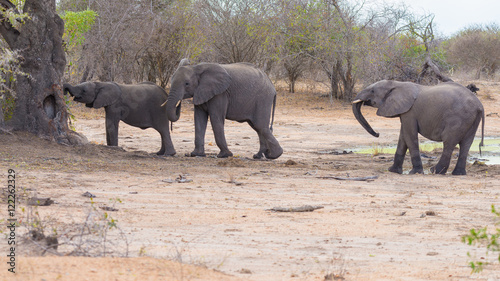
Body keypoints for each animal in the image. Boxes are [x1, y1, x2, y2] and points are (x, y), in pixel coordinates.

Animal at [352, 79, 484, 175]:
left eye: (372, 91)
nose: (378, 134)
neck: (397, 84)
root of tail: (480, 105)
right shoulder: (405, 113)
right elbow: (403, 137)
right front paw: (393, 171)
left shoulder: (410, 112)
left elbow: (410, 137)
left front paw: (414, 172)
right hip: (471, 120)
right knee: (466, 144)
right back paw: (458, 173)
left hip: (458, 118)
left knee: (449, 142)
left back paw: (435, 171)